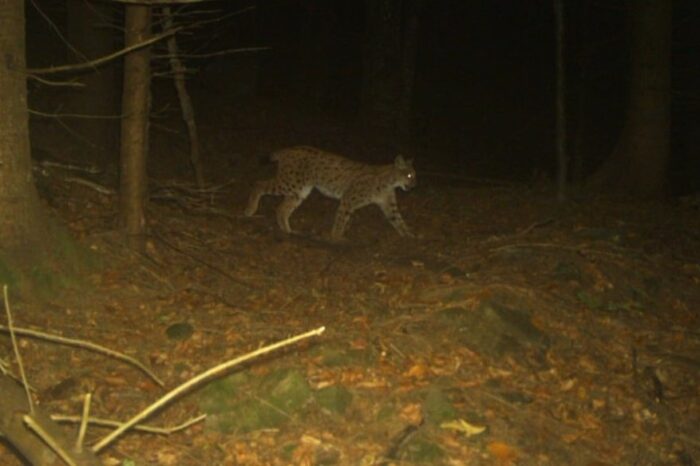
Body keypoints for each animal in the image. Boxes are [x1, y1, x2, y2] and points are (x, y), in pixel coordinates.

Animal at [245, 146, 416, 240]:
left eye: (415, 176)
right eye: (409, 175)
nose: (414, 185)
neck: (390, 183)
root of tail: (288, 149)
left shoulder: (389, 205)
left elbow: (399, 221)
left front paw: (409, 237)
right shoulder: (348, 199)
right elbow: (341, 219)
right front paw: (336, 237)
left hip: (299, 190)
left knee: (281, 208)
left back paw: (289, 231)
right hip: (289, 184)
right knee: (258, 184)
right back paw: (250, 210)